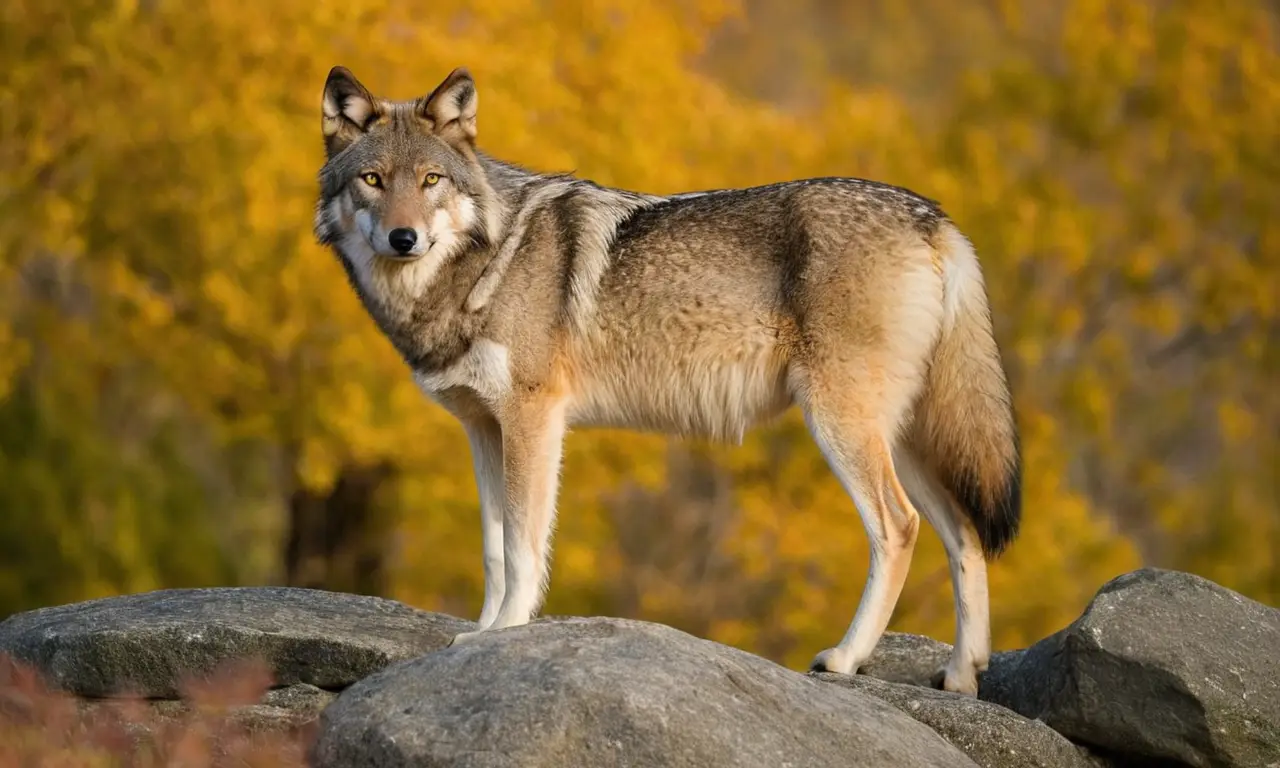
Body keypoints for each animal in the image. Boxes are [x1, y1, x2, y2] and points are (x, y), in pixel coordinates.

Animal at [313, 65, 1022, 696]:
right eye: (373, 180)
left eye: (430, 180)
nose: (404, 238)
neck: (480, 265)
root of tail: (932, 217)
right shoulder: (485, 431)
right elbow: (493, 549)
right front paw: (480, 635)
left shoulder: (533, 421)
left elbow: (522, 547)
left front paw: (508, 632)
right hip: (904, 440)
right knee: (964, 536)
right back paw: (962, 678)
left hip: (842, 427)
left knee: (899, 528)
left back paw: (845, 659)